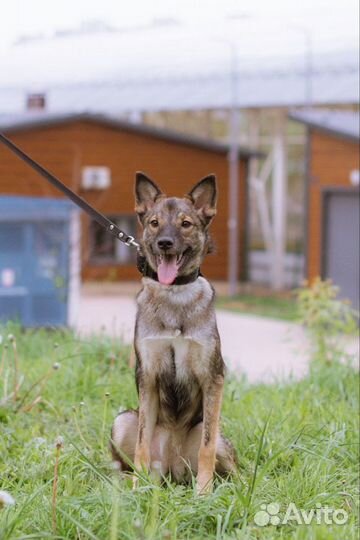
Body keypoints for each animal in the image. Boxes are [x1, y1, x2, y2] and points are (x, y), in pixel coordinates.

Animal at [111, 173, 238, 494]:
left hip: (217, 437)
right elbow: (142, 442)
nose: (165, 243)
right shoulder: (147, 375)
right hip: (122, 421)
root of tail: (172, 470)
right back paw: (133, 480)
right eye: (154, 222)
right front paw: (138, 489)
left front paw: (204, 493)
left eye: (186, 224)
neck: (174, 295)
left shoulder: (213, 376)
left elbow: (206, 447)